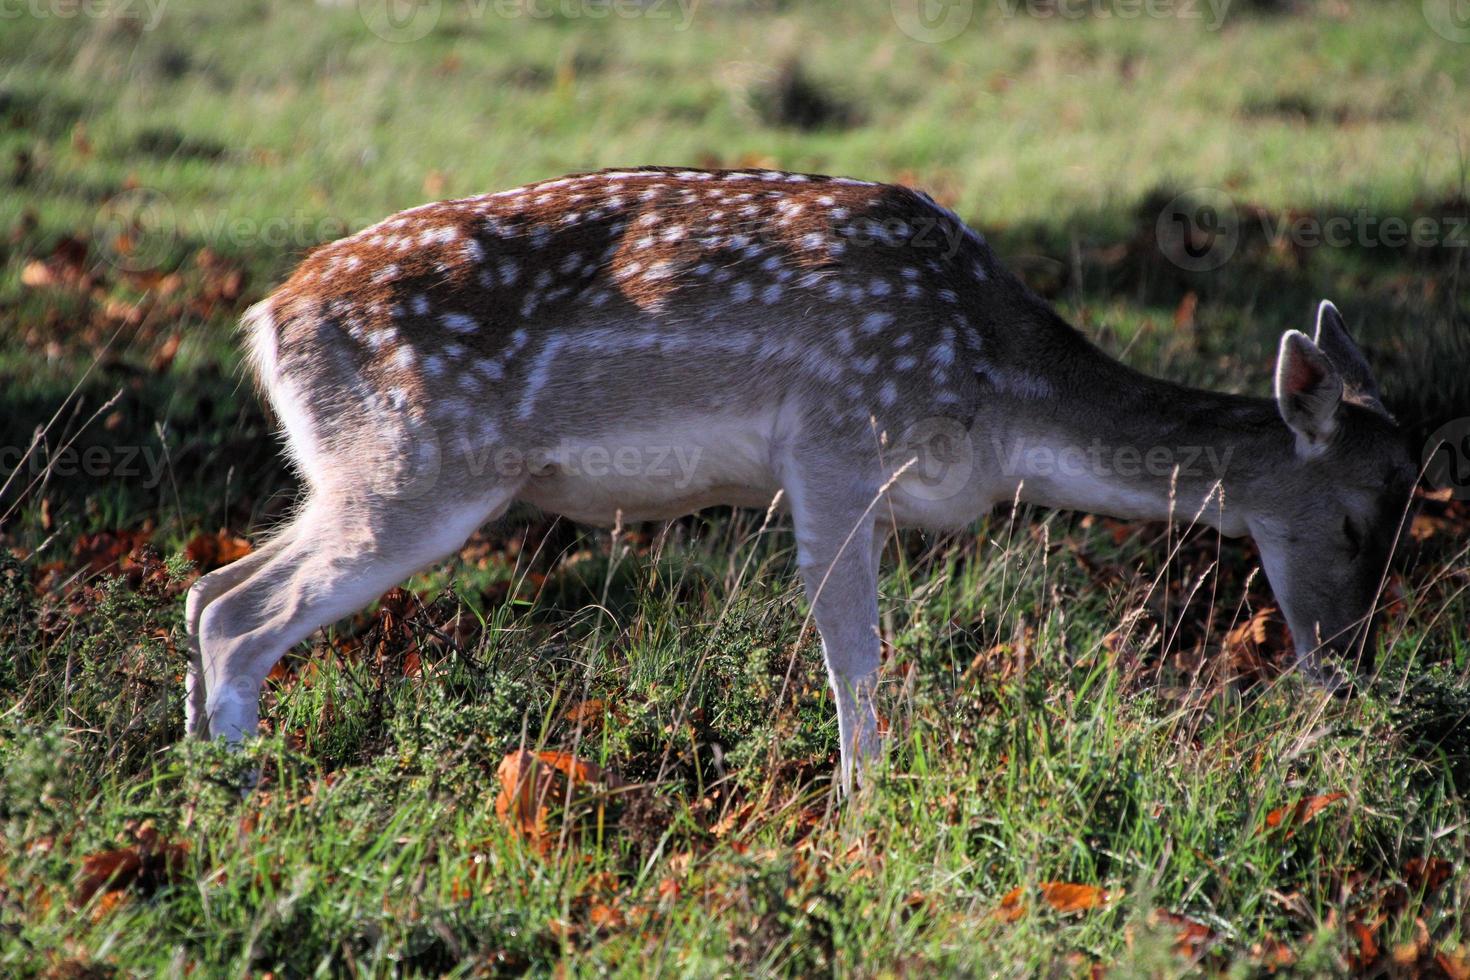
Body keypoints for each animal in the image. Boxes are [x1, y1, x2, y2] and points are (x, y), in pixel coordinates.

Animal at [189, 166, 1417, 799]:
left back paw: (195, 781)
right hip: (414, 466)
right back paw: (241, 800)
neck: (998, 394)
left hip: (352, 471)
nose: (1351, 667)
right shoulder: (833, 445)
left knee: (209, 588)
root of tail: (267, 320)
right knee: (244, 613)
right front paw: (862, 811)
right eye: (1360, 518)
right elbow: (853, 654)